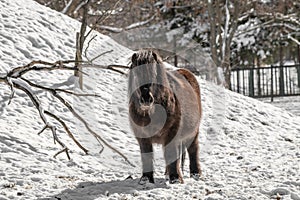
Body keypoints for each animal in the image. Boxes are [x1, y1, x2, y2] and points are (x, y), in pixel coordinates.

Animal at [127, 49, 202, 184]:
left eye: (154, 73)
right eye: (136, 74)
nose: (146, 99)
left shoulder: (171, 133)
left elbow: (171, 154)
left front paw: (176, 179)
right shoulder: (143, 137)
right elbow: (146, 156)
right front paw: (146, 179)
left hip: (193, 132)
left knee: (193, 149)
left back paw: (195, 174)